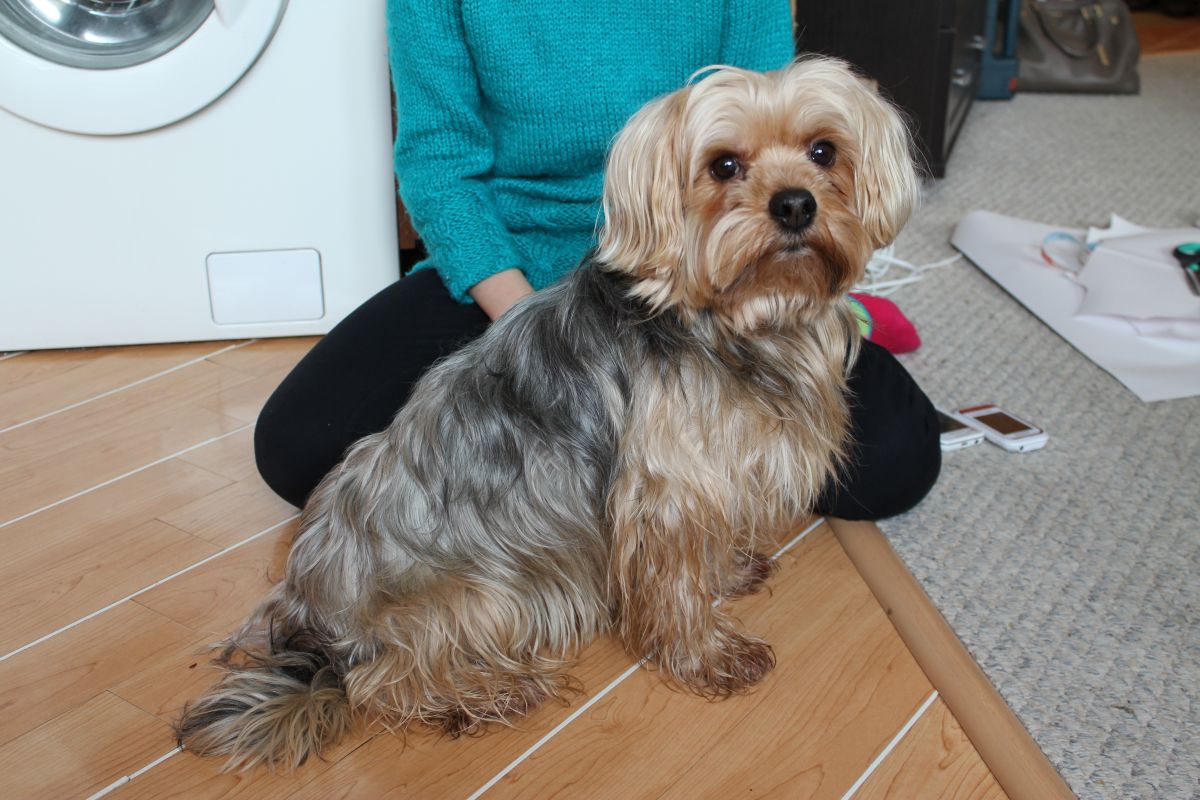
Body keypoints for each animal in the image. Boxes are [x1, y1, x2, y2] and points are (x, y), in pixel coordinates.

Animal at [176, 56, 919, 771]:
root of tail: (317, 615)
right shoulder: (668, 489)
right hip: (483, 593)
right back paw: (484, 693)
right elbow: (674, 582)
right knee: (382, 678)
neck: (735, 318)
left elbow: (699, 554)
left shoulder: (713, 475)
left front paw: (727, 573)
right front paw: (707, 654)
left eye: (824, 151)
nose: (795, 204)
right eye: (724, 166)